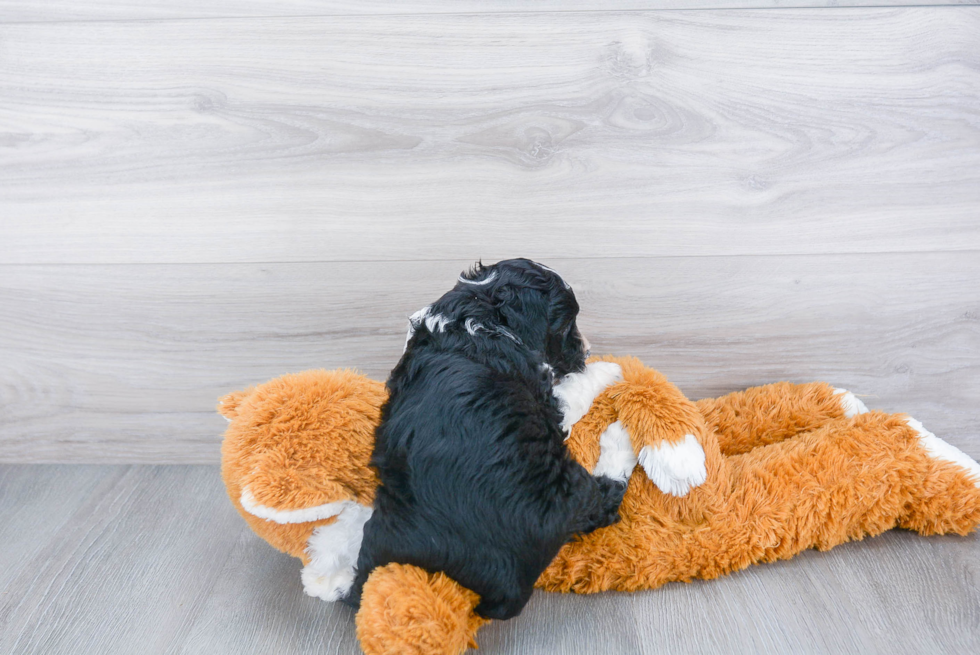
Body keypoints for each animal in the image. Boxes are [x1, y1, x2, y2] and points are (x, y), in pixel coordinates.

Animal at [344, 258, 628, 620]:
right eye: (566, 326)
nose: (586, 350)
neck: (478, 313)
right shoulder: (548, 398)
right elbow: (577, 387)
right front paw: (609, 368)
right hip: (569, 488)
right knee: (604, 495)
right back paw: (619, 439)